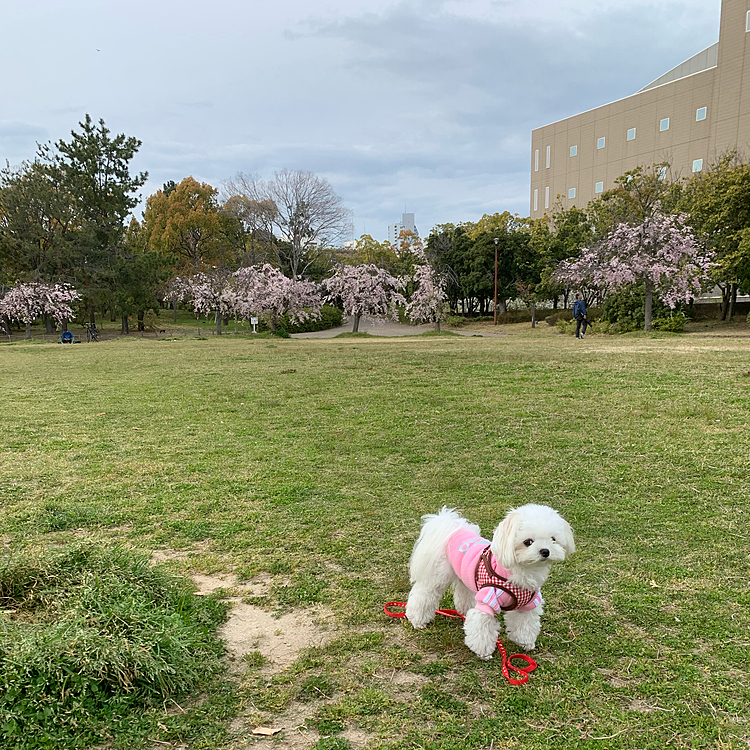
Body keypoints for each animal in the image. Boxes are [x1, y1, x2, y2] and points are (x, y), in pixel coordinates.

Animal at [406, 508, 576, 660]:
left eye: (553, 539)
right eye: (528, 542)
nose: (545, 551)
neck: (520, 574)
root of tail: (454, 529)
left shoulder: (528, 604)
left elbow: (525, 624)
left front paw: (525, 642)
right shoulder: (488, 600)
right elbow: (482, 627)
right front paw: (484, 652)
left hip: (465, 577)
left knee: (463, 592)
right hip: (437, 576)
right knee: (424, 595)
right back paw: (418, 620)